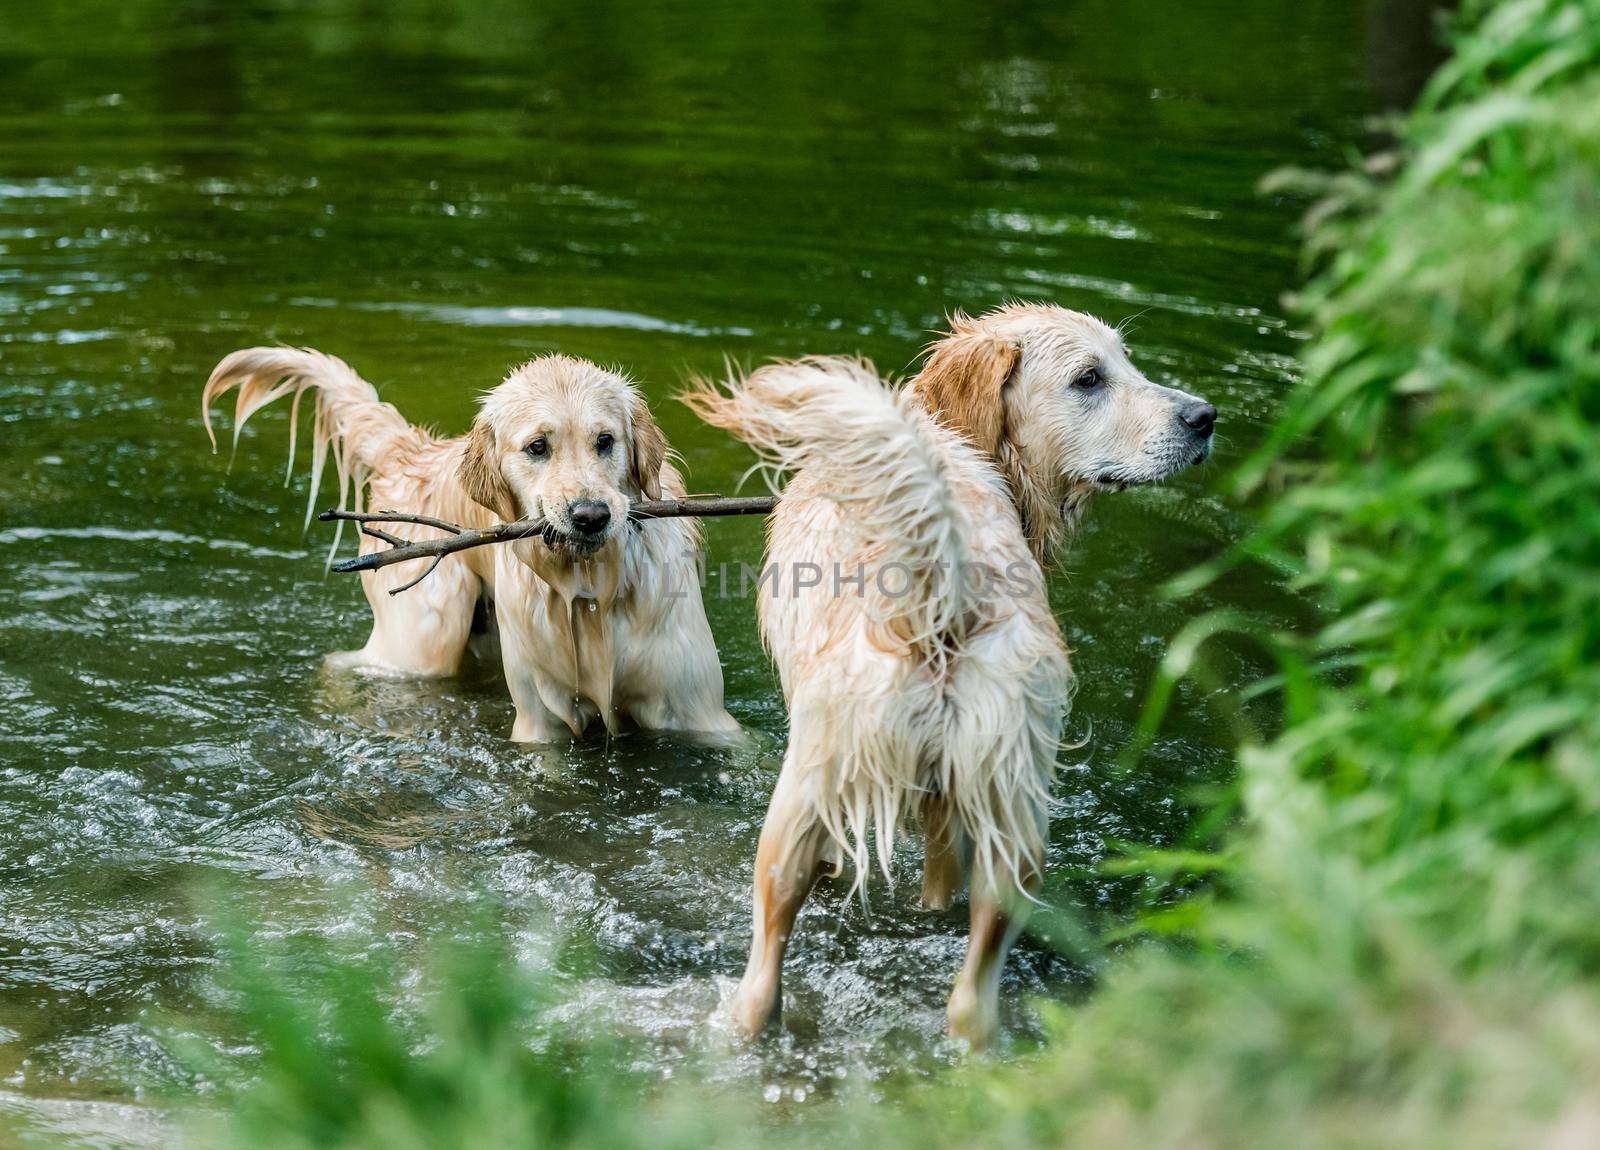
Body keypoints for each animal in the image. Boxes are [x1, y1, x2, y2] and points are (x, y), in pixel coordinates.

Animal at [201, 350, 742, 742]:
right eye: (537, 447)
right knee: (348, 661)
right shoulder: (541, 720)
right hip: (421, 640)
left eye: (605, 441)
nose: (590, 516)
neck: (590, 590)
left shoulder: (699, 712)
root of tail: (414, 452)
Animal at [684, 300, 1209, 1049]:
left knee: (763, 976)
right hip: (1010, 817)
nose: (1205, 417)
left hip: (798, 806)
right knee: (972, 997)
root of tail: (944, 591)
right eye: (1090, 377)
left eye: (1125, 364)